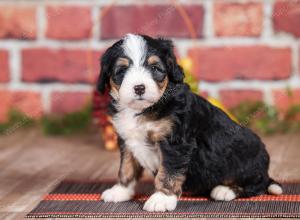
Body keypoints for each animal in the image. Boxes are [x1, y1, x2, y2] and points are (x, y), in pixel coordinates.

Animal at [97, 34, 282, 211]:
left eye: (155, 68)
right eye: (121, 71)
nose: (139, 88)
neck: (144, 109)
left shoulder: (176, 143)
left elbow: (168, 172)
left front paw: (162, 199)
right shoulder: (127, 140)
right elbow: (126, 167)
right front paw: (121, 191)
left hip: (247, 158)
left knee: (257, 185)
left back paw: (225, 190)